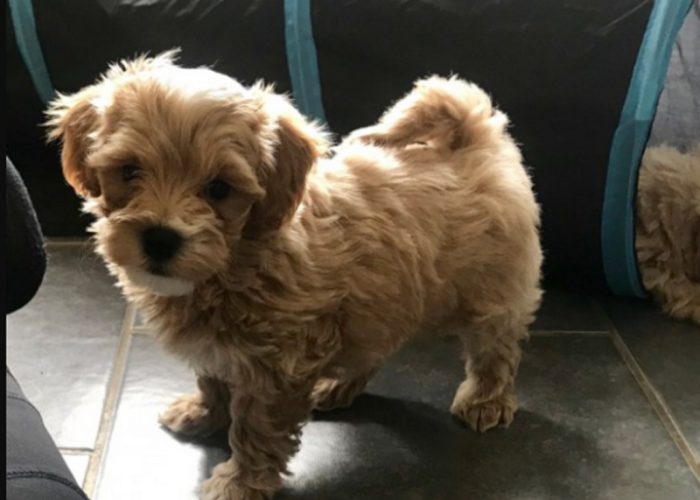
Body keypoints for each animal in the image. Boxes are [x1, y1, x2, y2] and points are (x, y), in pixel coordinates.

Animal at [47, 52, 542, 500]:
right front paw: (204, 412)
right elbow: (211, 377)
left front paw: (239, 483)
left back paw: (485, 400)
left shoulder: (277, 370)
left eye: (219, 189)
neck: (238, 258)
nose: (160, 239)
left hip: (493, 290)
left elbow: (255, 430)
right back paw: (338, 385)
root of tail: (475, 136)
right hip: (385, 299)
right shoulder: (222, 348)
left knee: (495, 347)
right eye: (129, 171)